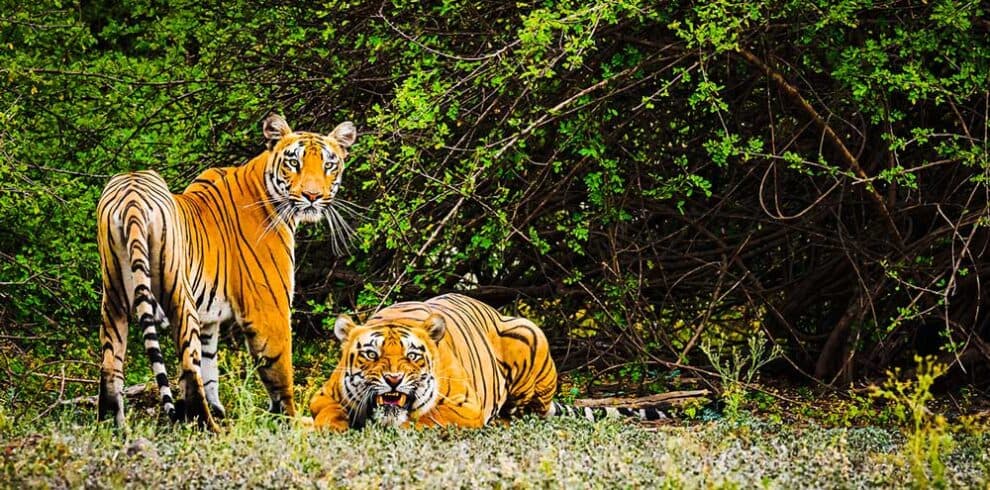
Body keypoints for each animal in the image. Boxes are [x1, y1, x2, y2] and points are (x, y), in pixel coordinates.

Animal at [96, 114, 357, 431]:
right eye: (294, 162)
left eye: (328, 164)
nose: (312, 195)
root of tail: (132, 196)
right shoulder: (269, 309)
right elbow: (279, 369)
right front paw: (291, 420)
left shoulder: (209, 320)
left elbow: (210, 367)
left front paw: (220, 407)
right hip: (179, 296)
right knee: (188, 369)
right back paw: (208, 426)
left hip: (113, 296)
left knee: (111, 364)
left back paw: (112, 425)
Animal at [309, 293, 670, 430]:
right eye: (372, 354)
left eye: (412, 356)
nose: (394, 380)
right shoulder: (322, 397)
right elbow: (328, 414)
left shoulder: (464, 408)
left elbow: (426, 418)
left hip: (529, 333)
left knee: (529, 410)